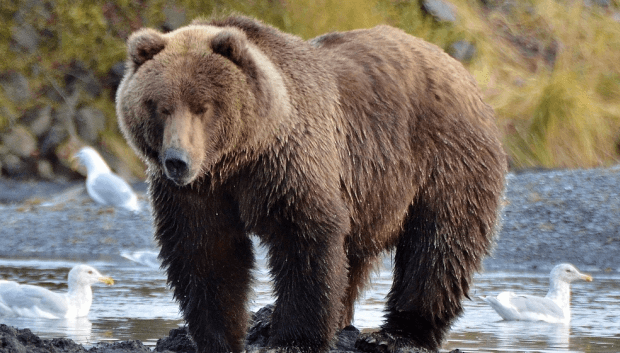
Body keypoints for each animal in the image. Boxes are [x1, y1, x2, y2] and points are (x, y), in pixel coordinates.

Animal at [115, 15, 504, 350]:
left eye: (202, 106)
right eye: (159, 106)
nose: (177, 160)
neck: (238, 157)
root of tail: (461, 70)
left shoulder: (289, 165)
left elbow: (306, 237)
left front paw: (293, 338)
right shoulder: (199, 193)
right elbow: (206, 252)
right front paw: (218, 336)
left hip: (444, 158)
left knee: (439, 243)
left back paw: (399, 334)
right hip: (369, 193)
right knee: (355, 259)